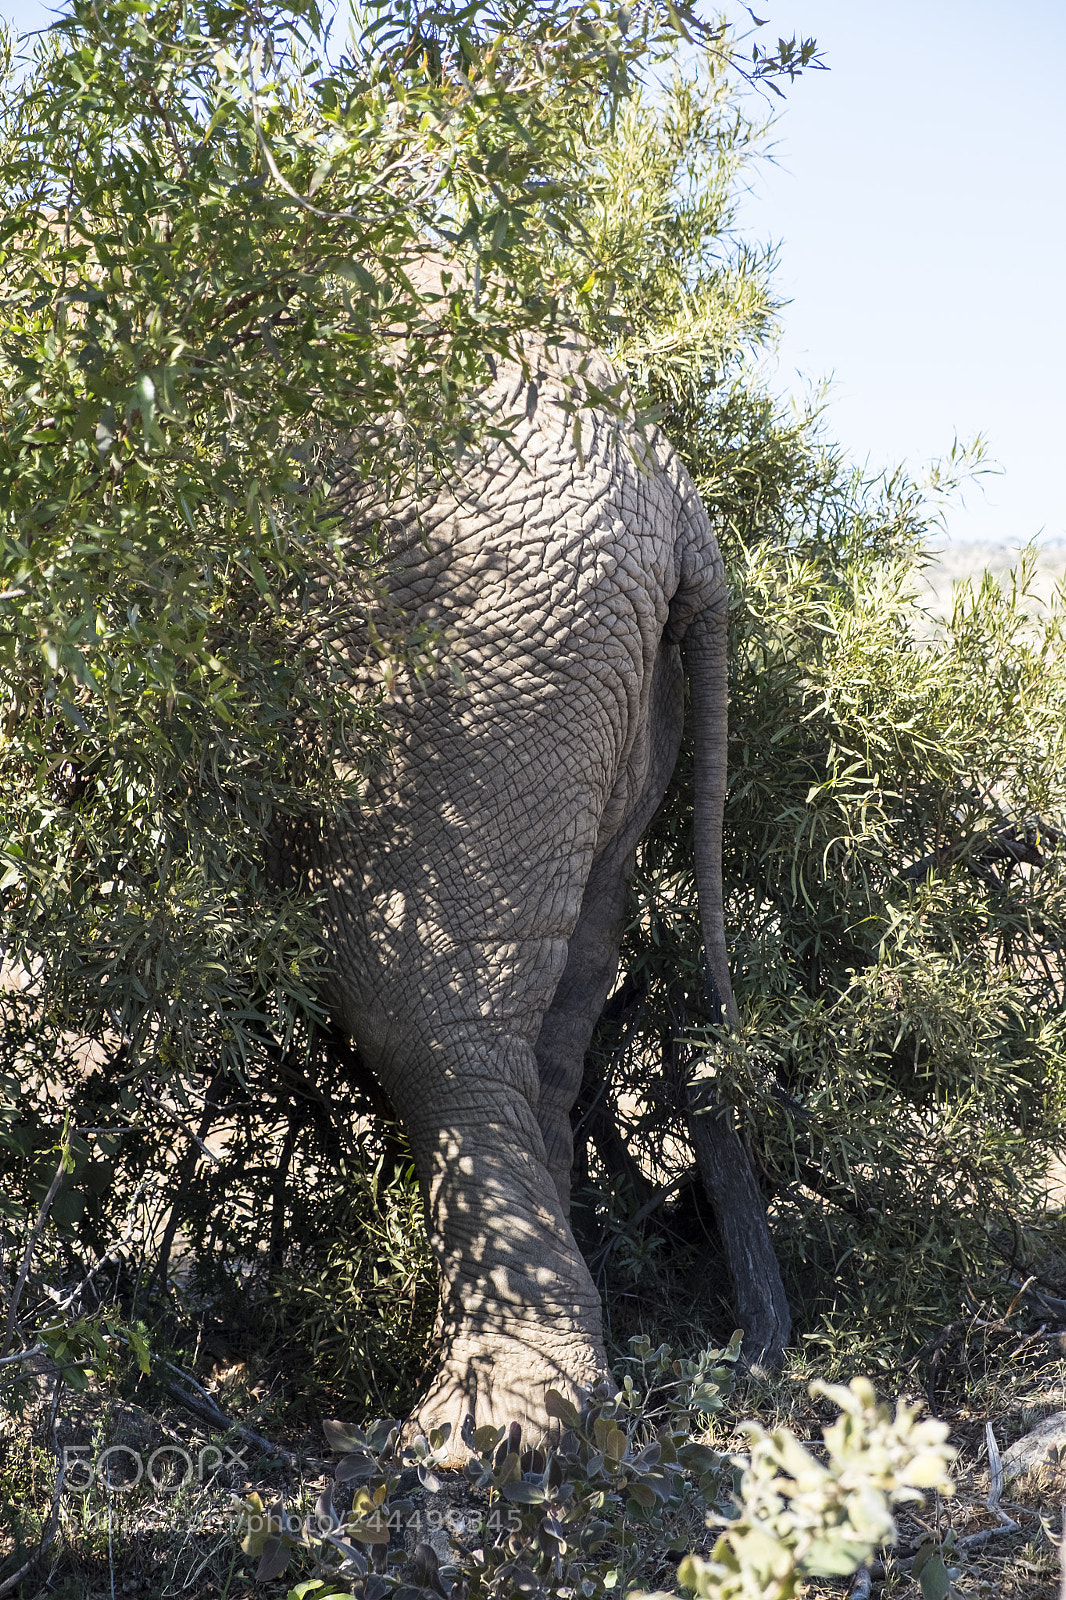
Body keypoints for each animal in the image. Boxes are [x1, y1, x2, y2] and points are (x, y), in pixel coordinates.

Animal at [299, 338, 789, 1455]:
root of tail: (683, 510)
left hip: (496, 649)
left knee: (418, 1010)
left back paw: (487, 1431)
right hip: (612, 682)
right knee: (560, 1011)